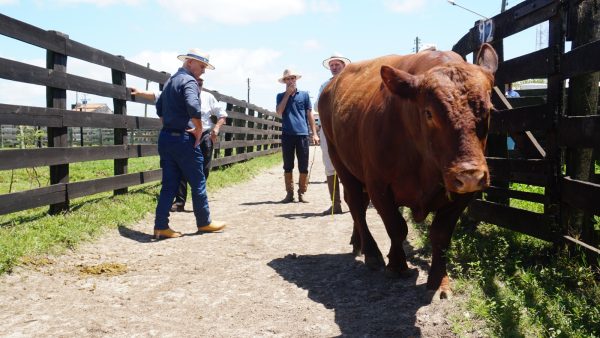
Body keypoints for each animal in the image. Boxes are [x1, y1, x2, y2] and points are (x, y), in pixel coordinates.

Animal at [318, 43, 496, 298]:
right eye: (429, 113)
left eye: (489, 110)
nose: (469, 174)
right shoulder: (379, 186)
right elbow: (396, 227)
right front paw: (396, 264)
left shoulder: (461, 196)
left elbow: (440, 235)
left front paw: (439, 280)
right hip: (339, 160)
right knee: (356, 204)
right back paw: (371, 253)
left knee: (357, 205)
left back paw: (358, 242)